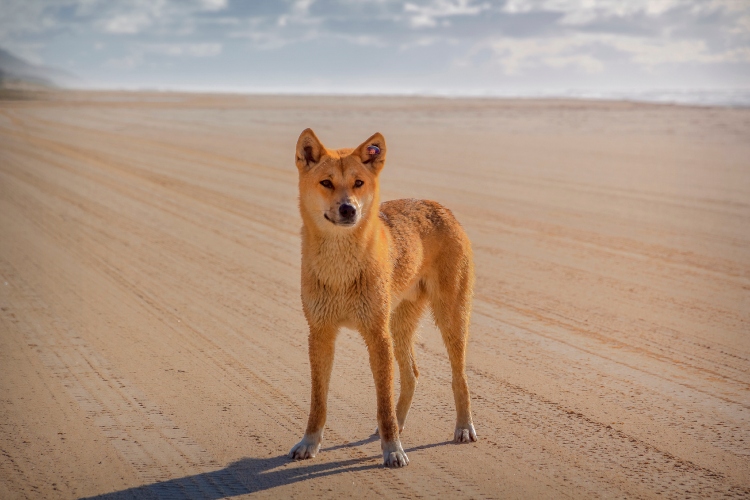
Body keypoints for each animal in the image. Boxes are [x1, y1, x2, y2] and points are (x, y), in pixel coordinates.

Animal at [290, 127, 478, 466]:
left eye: (358, 183)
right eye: (326, 183)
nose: (348, 208)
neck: (341, 267)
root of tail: (439, 205)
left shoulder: (376, 335)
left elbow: (382, 402)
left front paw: (393, 450)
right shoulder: (320, 333)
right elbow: (318, 402)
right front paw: (309, 443)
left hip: (449, 320)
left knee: (459, 378)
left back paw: (463, 427)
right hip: (398, 326)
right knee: (412, 374)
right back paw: (400, 424)